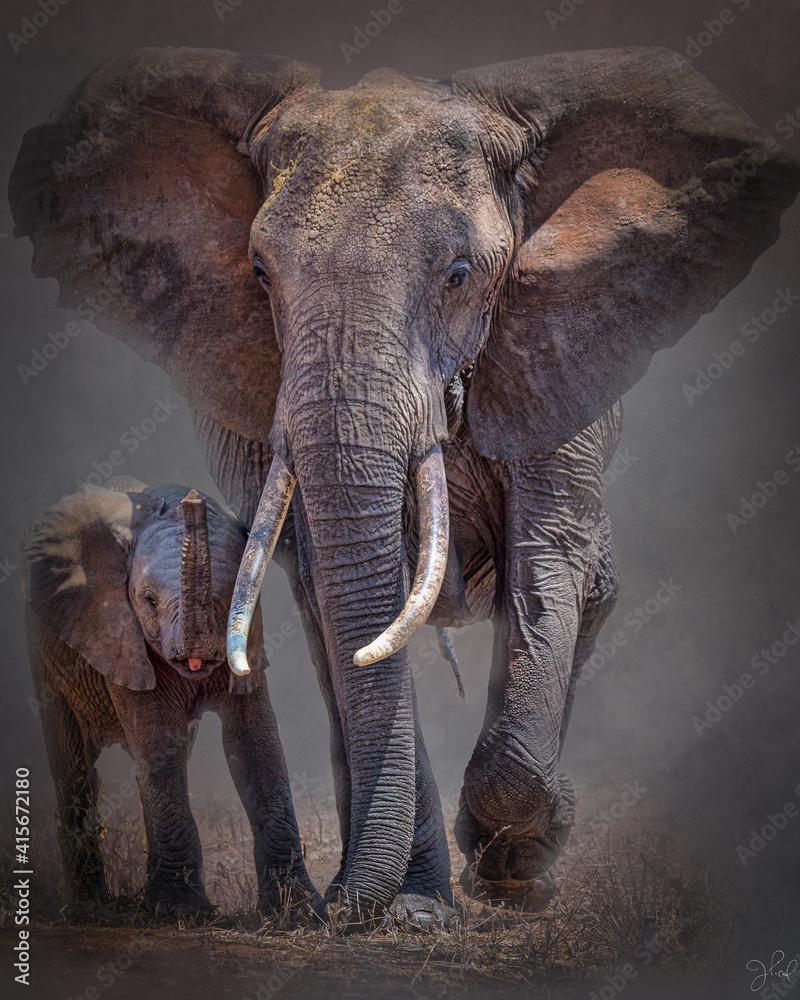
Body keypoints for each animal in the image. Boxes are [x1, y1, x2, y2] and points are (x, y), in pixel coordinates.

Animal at [23, 479, 314, 916]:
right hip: (45, 657)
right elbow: (161, 740)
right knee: (74, 767)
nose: (193, 500)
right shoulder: (121, 635)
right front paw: (182, 911)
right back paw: (92, 907)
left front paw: (298, 911)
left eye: (235, 596)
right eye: (148, 600)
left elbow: (254, 743)